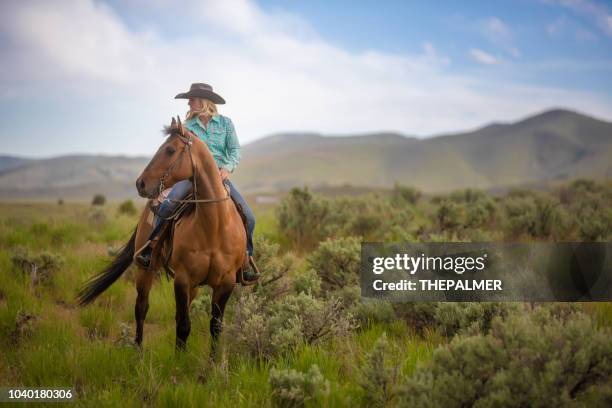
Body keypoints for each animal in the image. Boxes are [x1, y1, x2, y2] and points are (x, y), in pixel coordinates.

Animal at [77, 115, 246, 354]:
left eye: (170, 150)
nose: (140, 183)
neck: (214, 227)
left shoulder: (226, 282)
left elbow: (215, 327)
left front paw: (212, 362)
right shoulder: (183, 278)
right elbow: (183, 326)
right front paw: (179, 359)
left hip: (194, 286)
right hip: (145, 270)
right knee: (141, 307)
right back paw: (138, 350)